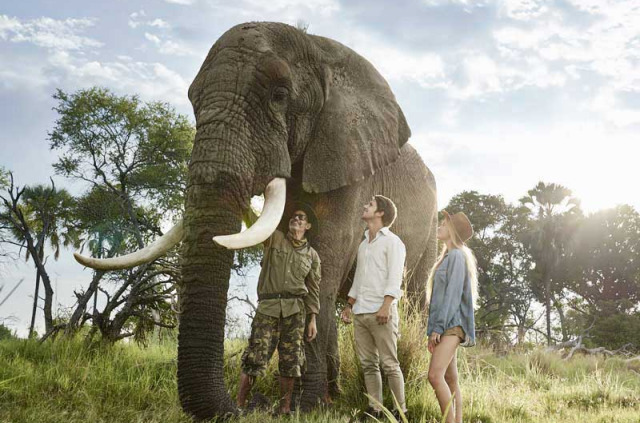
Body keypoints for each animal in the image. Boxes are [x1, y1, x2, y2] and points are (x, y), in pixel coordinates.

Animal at [72, 22, 438, 420]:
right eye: (194, 102)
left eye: (279, 96)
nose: (246, 406)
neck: (318, 49)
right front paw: (310, 403)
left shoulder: (349, 164)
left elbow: (323, 272)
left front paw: (306, 407)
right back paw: (336, 394)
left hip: (432, 228)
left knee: (413, 297)